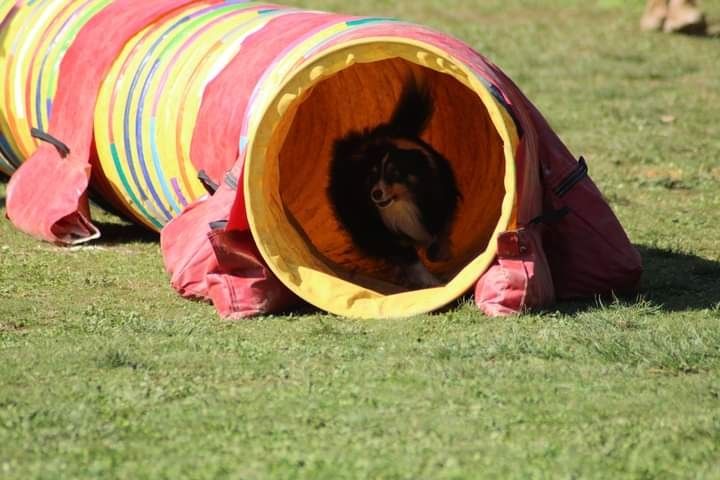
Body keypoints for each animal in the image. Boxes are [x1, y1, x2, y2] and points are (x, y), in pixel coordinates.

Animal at [328, 76, 462, 286]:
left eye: (395, 173)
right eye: (372, 175)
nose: (375, 194)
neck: (402, 205)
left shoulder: (439, 204)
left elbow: (440, 231)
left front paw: (440, 254)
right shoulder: (384, 233)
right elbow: (408, 257)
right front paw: (431, 282)